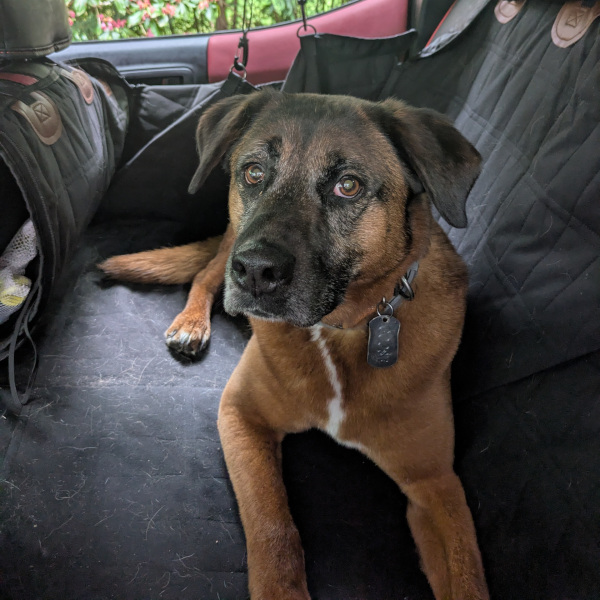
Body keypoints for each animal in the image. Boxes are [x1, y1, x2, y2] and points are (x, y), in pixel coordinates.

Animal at [99, 90, 489, 600]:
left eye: (348, 186)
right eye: (253, 173)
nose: (255, 272)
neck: (337, 329)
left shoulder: (436, 484)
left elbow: (467, 576)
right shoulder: (241, 414)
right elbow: (273, 528)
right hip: (230, 242)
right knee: (205, 274)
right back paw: (191, 323)